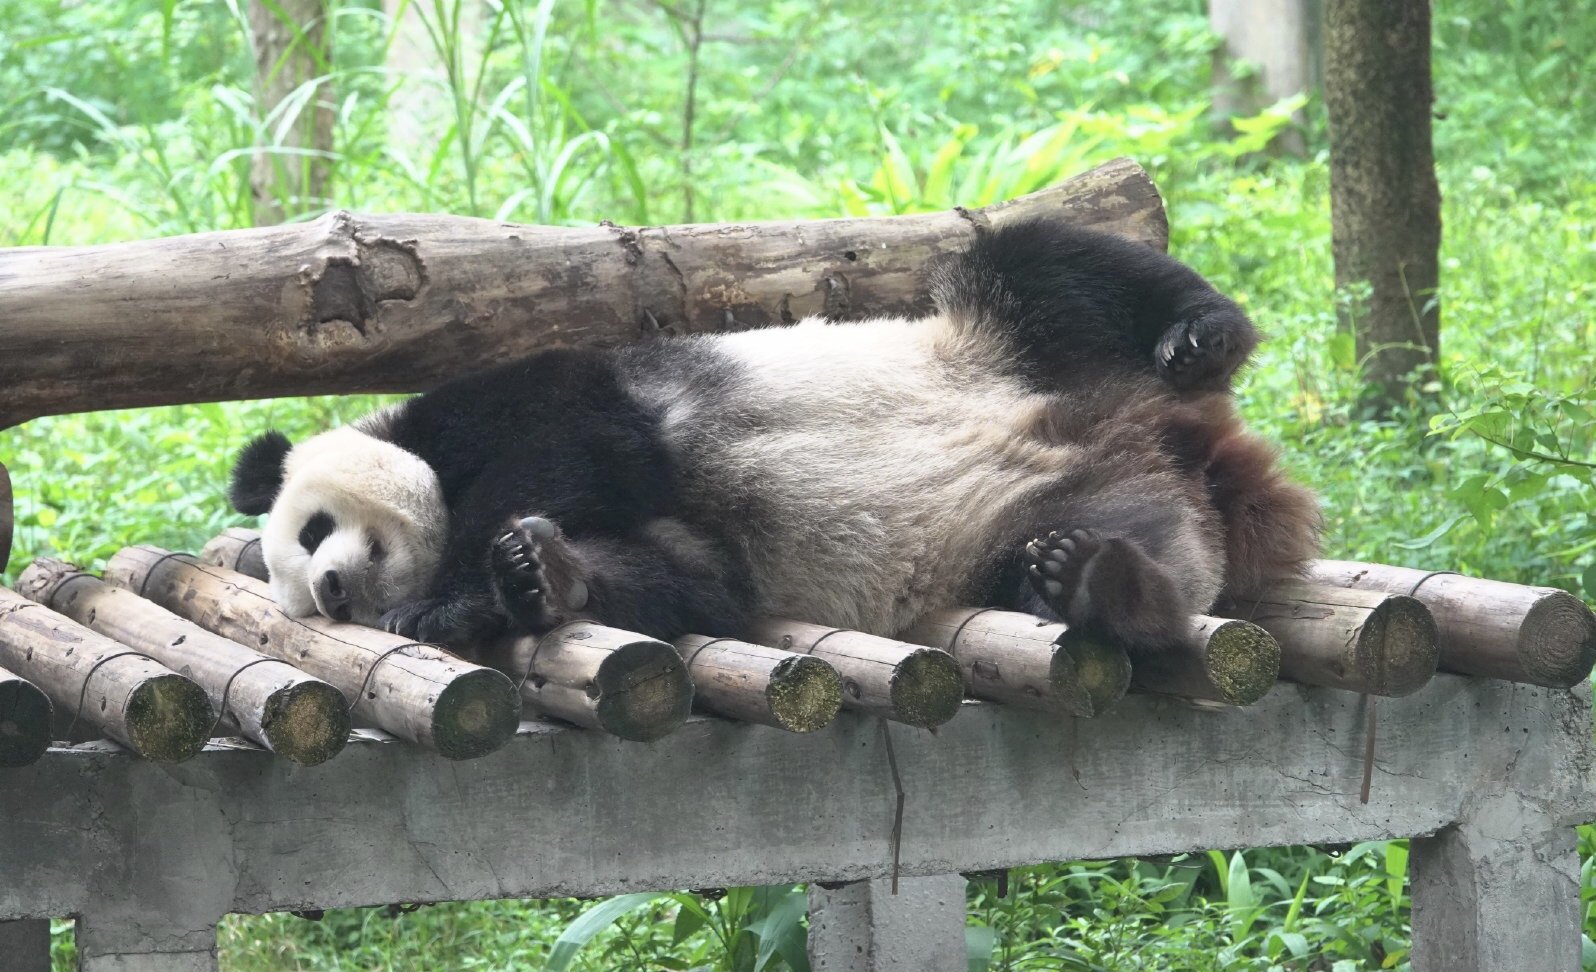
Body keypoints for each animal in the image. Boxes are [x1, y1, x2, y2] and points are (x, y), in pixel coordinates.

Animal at [228, 218, 1321, 659]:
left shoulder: (530, 392)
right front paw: (542, 577)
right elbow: (689, 580)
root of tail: (1177, 441)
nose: (335, 588)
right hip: (1055, 510)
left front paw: (457, 595)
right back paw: (1109, 584)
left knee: (1039, 264)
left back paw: (1202, 334)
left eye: (313, 531)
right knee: (1116, 547)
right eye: (303, 599)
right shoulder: (695, 549)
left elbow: (569, 432)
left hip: (1013, 346)